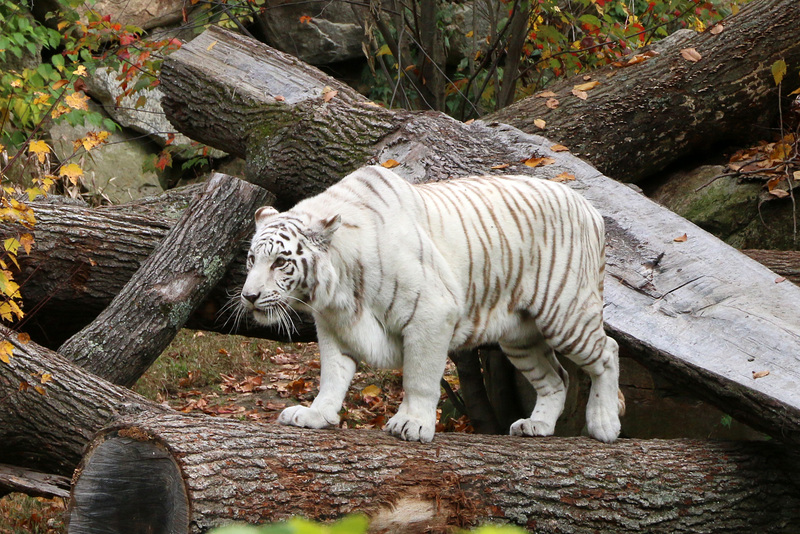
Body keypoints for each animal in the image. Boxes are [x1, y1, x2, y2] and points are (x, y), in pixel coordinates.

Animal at [241, 166, 620, 444]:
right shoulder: (336, 325)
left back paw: (604, 424)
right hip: (520, 336)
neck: (339, 290)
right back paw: (536, 425)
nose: (249, 296)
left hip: (565, 312)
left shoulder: (431, 314)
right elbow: (332, 376)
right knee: (556, 378)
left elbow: (419, 377)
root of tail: (590, 208)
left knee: (607, 352)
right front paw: (315, 415)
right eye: (251, 259)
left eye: (280, 262)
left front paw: (412, 423)